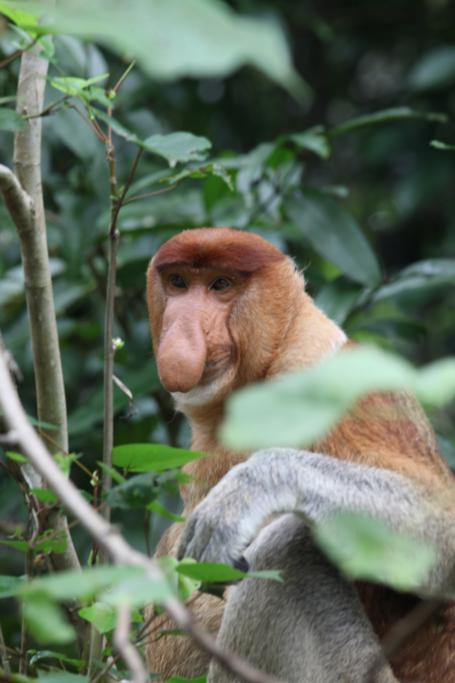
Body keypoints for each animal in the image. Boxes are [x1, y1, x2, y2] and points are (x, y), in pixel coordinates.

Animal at [145, 228, 455, 683]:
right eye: (179, 283)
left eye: (221, 285)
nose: (182, 330)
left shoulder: (337, 387)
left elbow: (441, 528)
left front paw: (250, 489)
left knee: (289, 548)